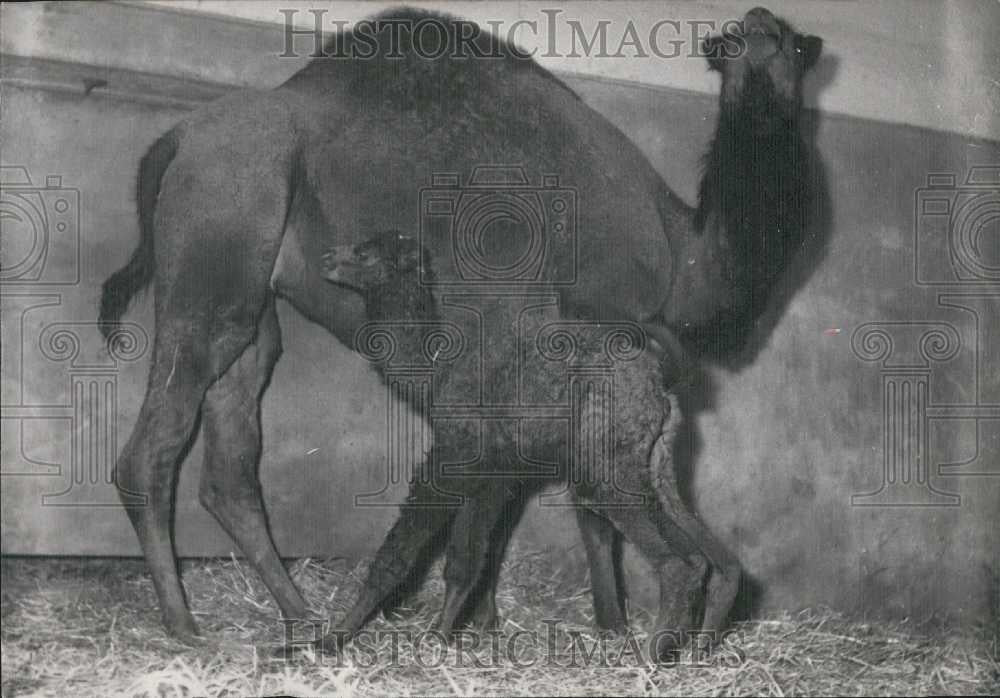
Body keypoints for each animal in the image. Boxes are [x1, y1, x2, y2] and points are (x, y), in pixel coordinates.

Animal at [98, 5, 822, 645]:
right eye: (735, 44)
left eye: (790, 46)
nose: (765, 82)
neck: (681, 256)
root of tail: (173, 140)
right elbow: (582, 510)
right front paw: (599, 624)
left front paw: (511, 623)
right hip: (219, 226)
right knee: (156, 443)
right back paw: (186, 626)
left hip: (253, 303)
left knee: (232, 456)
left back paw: (298, 613)